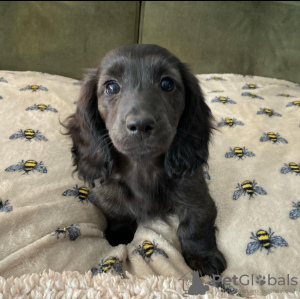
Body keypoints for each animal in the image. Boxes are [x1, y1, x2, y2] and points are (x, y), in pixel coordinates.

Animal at [64, 44, 226, 276]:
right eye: (111, 87)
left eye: (167, 84)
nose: (140, 124)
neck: (142, 167)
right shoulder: (107, 192)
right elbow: (117, 212)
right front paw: (119, 235)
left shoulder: (195, 191)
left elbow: (196, 224)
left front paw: (203, 256)